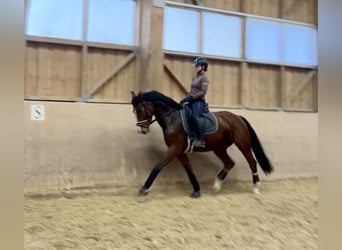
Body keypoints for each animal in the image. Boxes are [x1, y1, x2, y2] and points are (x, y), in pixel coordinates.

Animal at [130, 90, 274, 197]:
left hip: (243, 145)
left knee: (252, 162)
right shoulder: (179, 151)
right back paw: (216, 186)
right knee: (230, 163)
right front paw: (196, 190)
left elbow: (157, 167)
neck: (172, 118)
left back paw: (256, 188)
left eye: (140, 109)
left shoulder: (174, 149)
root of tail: (238, 117)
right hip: (219, 148)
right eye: (134, 111)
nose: (142, 130)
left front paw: (144, 189)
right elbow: (189, 170)